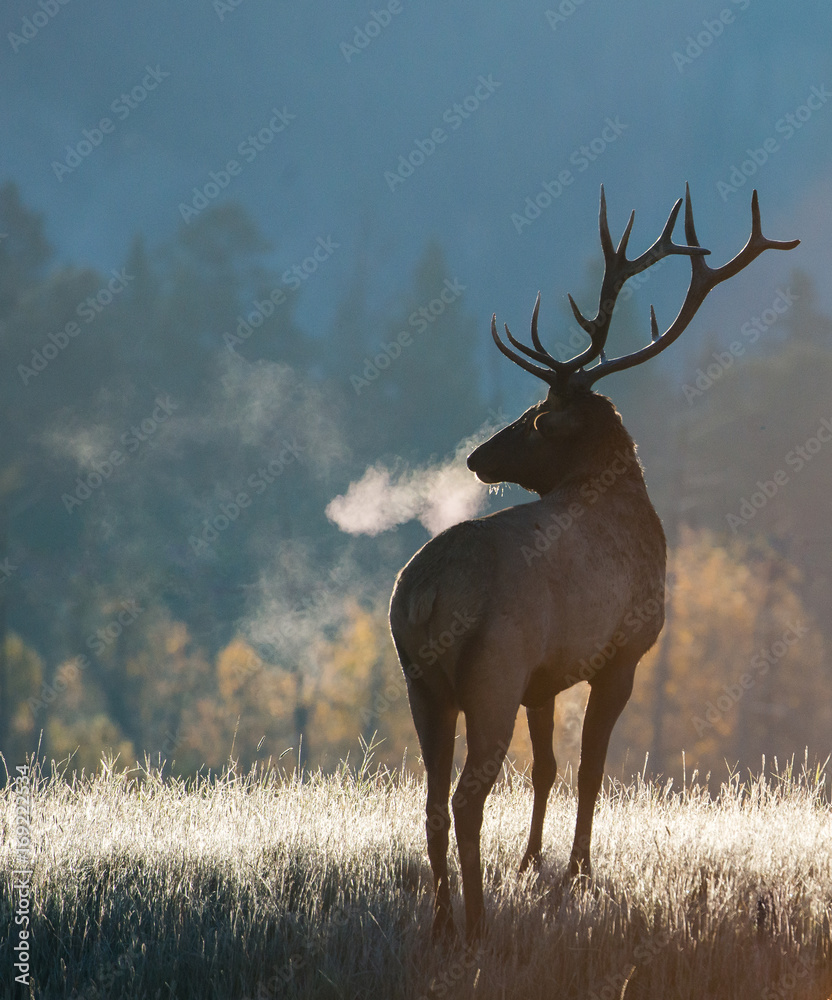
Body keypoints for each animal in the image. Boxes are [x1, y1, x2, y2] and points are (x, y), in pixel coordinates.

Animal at [388, 184, 798, 943]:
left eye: (536, 417)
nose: (477, 455)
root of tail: (423, 596)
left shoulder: (544, 680)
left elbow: (548, 767)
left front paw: (532, 861)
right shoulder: (624, 651)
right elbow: (591, 769)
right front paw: (577, 872)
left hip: (420, 681)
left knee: (431, 800)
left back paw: (440, 921)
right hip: (491, 670)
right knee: (464, 798)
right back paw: (477, 922)